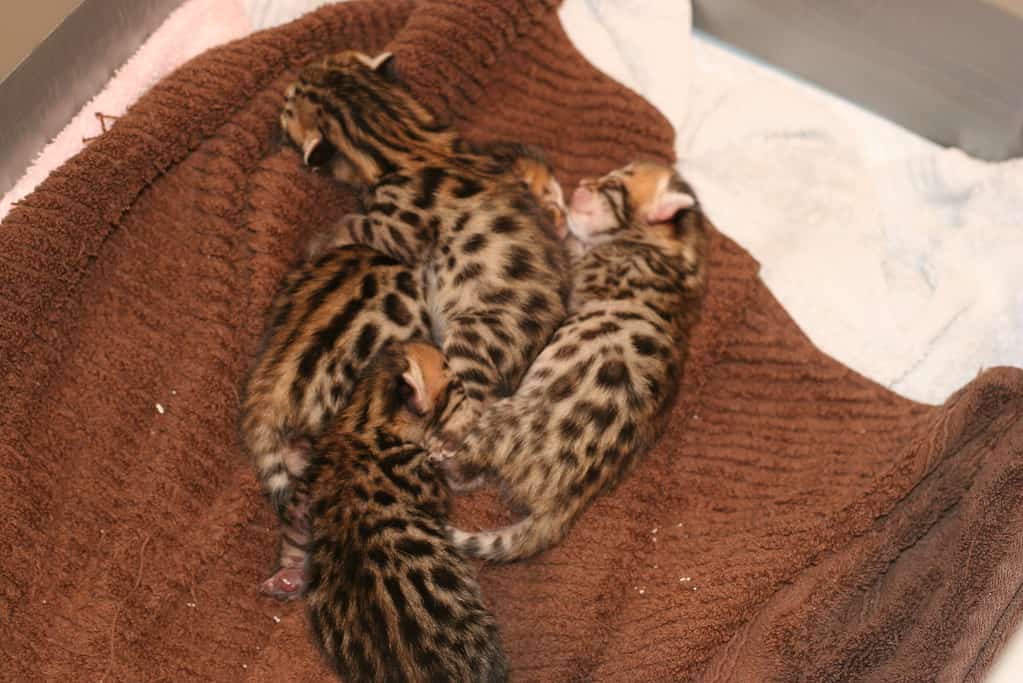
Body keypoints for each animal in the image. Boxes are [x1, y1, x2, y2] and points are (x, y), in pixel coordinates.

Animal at [278, 52, 568, 453]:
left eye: (289, 102)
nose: (284, 88)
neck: (405, 136)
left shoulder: (402, 229)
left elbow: (356, 226)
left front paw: (319, 241)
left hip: (475, 333)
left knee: (482, 400)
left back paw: (448, 437)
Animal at [443, 162, 707, 564]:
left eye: (612, 185)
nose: (582, 184)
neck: (672, 248)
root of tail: (568, 503)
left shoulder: (583, 267)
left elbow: (568, 242)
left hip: (501, 417)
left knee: (464, 467)